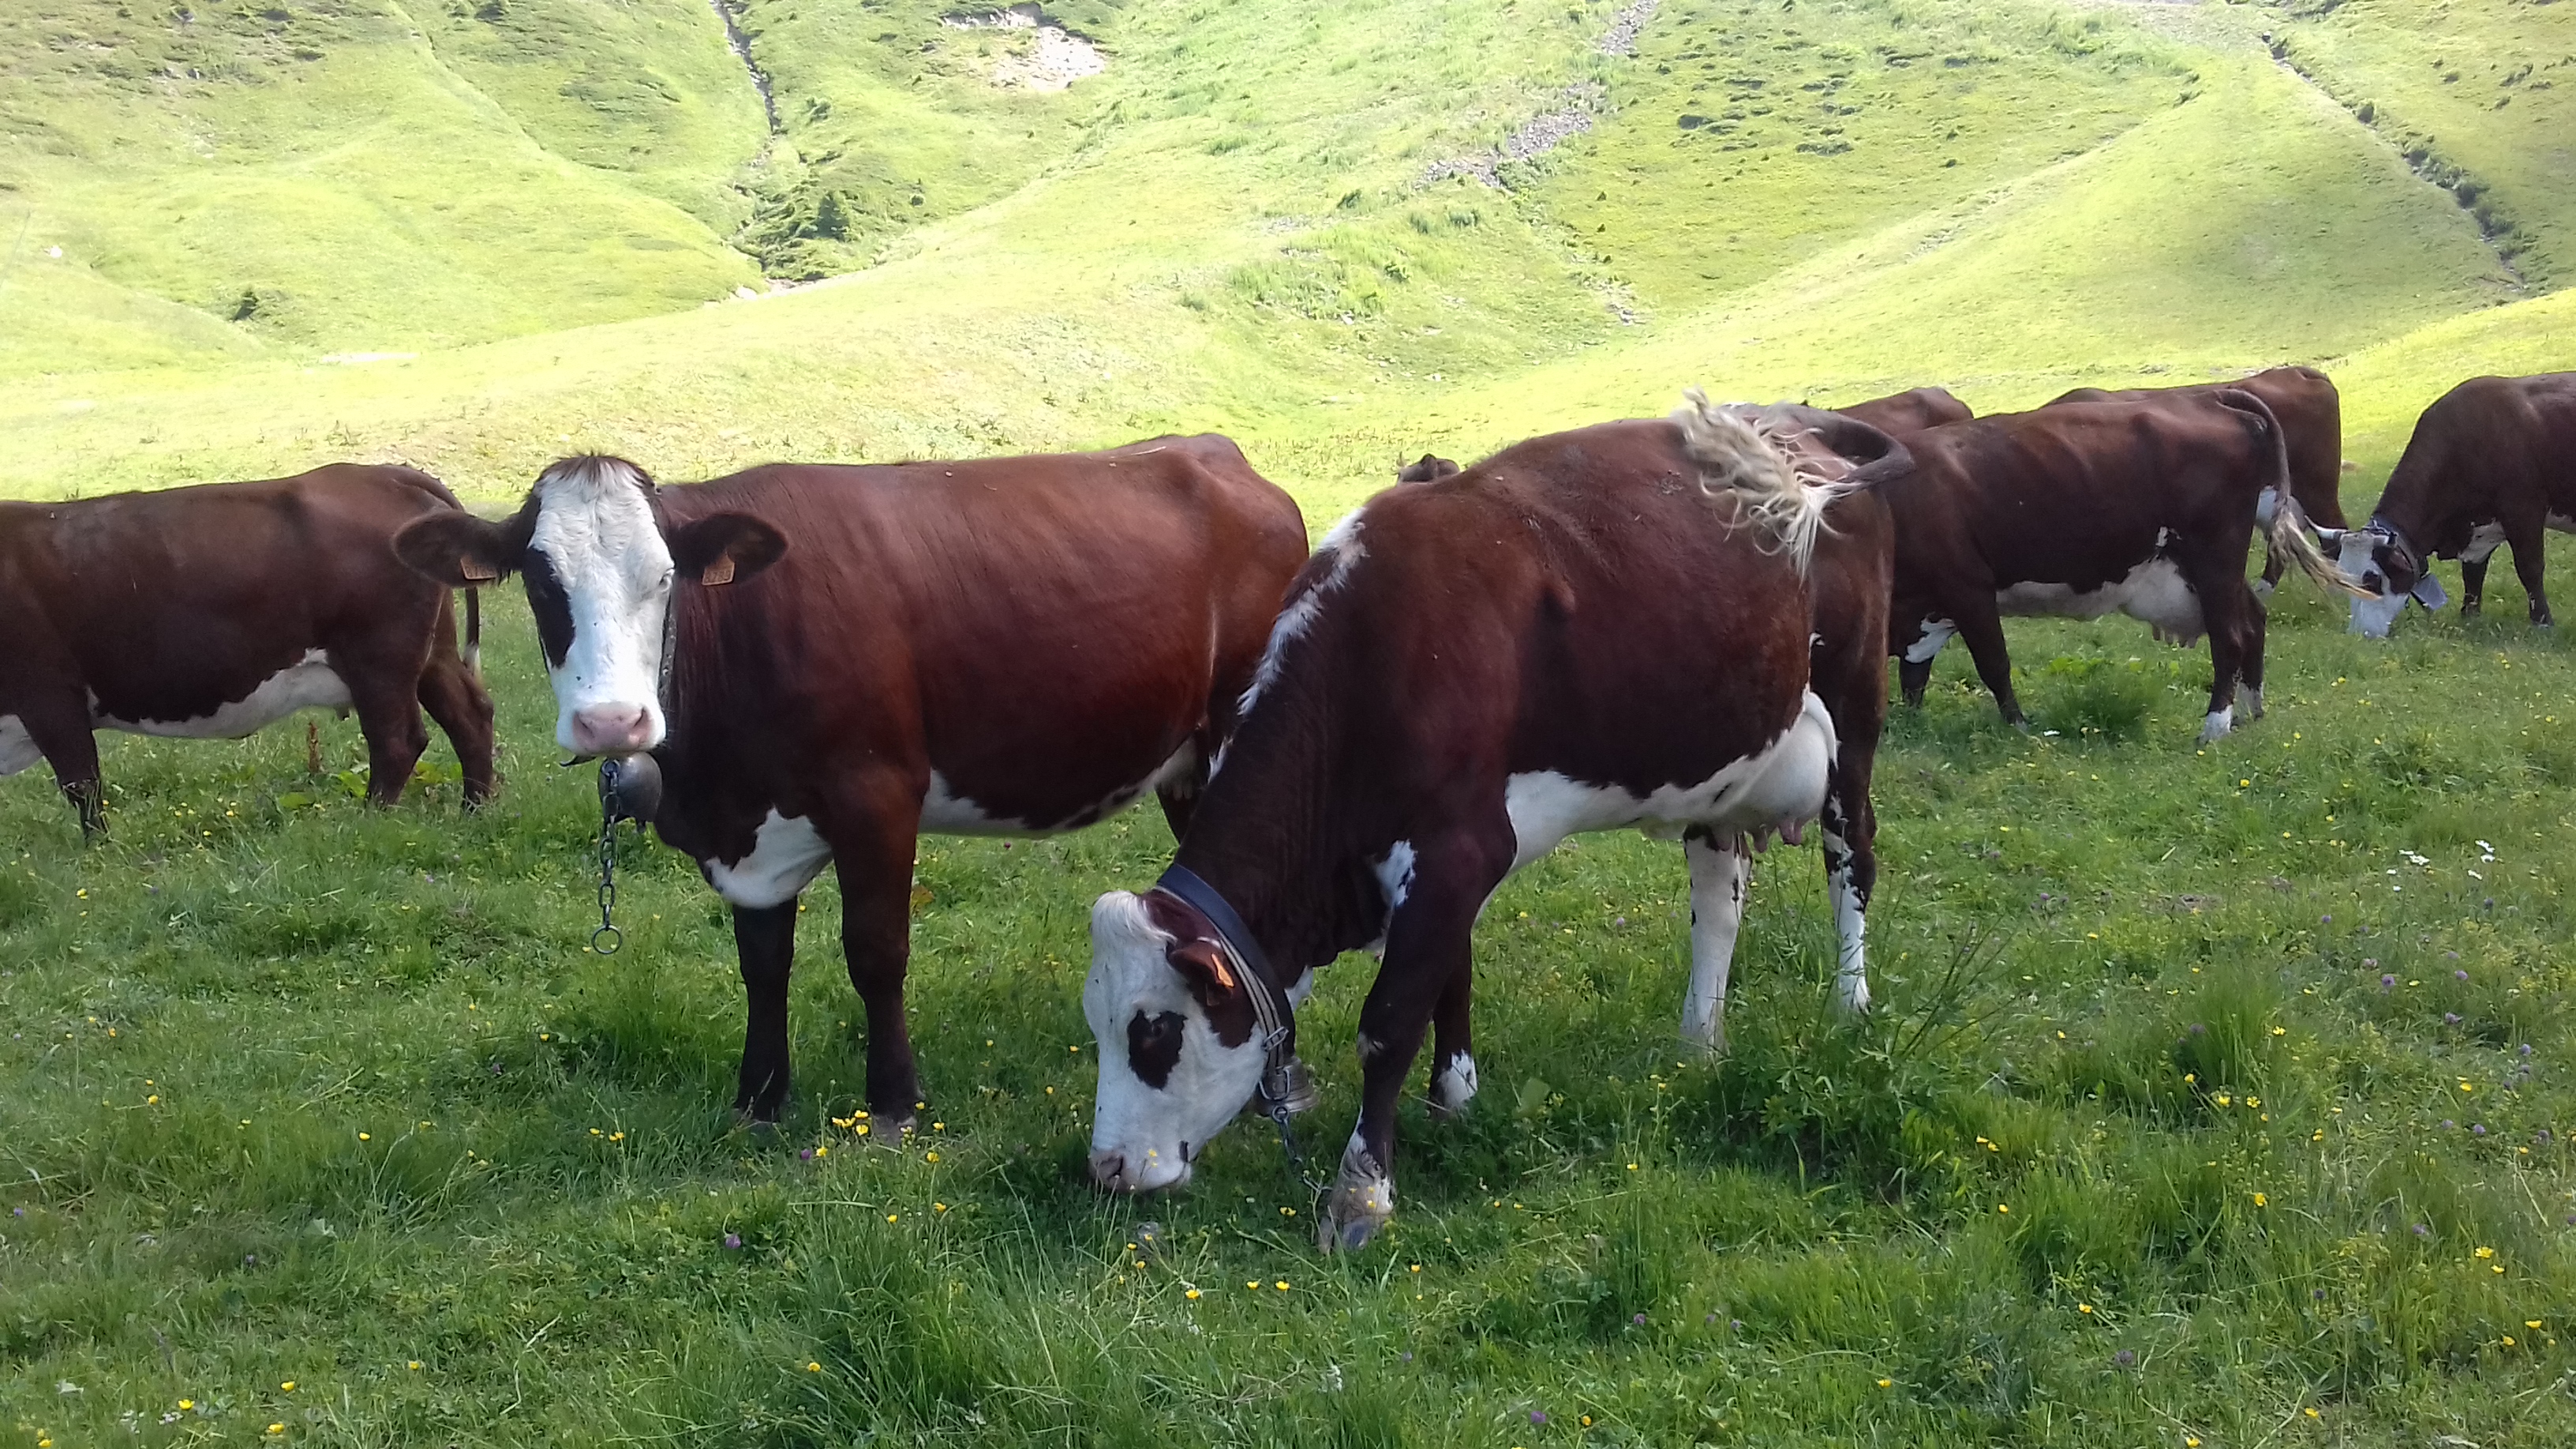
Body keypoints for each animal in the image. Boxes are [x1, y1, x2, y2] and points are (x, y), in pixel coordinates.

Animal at [0, 465, 496, 836]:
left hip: (379, 660)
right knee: (469, 715)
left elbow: (82, 783)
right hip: (431, 655)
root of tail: (382, 474)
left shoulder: (48, 692)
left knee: (397, 740)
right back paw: (475, 811)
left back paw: (372, 821)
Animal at [390, 438, 1307, 1127]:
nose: (612, 723)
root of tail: (1214, 452)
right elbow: (763, 963)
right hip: (1187, 768)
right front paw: (760, 1098)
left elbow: (875, 952)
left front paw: (894, 1102)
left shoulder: (878, 795)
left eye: (663, 577)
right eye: (543, 584)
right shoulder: (752, 834)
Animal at [1078, 394, 1907, 1252]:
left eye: (1153, 1033)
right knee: (1719, 896)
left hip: (1854, 714)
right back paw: (1698, 1046)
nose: (1106, 1169)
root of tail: (1795, 435)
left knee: (1854, 859)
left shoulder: (1456, 851)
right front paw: (1455, 1101)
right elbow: (1452, 979)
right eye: (1096, 1024)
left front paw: (1361, 1193)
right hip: (1725, 762)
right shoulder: (1449, 863)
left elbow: (1389, 1023)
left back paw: (1850, 1006)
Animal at [1886, 391, 2349, 743]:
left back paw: (2214, 728)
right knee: (2253, 619)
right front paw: (1910, 725)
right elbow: (1914, 675)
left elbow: (1993, 665)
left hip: (2215, 556)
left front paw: (2018, 727)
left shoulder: (1968, 590)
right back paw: (2252, 711)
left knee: (2231, 637)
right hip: (2205, 570)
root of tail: (2205, 397)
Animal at [2325, 372, 2576, 637]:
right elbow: (2473, 575)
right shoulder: (2478, 532)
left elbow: (2530, 568)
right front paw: (2469, 616)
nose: (2358, 635)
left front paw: (2542, 621)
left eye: (2372, 581)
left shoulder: (2524, 512)